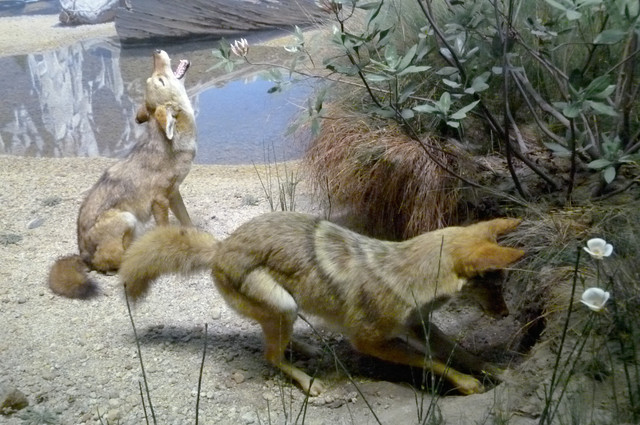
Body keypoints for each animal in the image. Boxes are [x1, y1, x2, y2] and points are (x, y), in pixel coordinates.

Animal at [48, 49, 196, 298]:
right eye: (159, 80)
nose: (155, 51)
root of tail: (83, 255)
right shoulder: (159, 201)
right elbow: (165, 228)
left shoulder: (174, 194)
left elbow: (187, 221)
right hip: (127, 218)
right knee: (108, 264)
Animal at [119, 212, 524, 395]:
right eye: (493, 285)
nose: (505, 312)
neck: (406, 272)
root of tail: (221, 246)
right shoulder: (369, 341)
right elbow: (431, 361)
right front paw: (467, 383)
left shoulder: (420, 326)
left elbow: (462, 353)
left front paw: (500, 373)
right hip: (284, 307)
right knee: (270, 356)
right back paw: (308, 383)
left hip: (288, 311)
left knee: (275, 343)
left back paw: (307, 349)